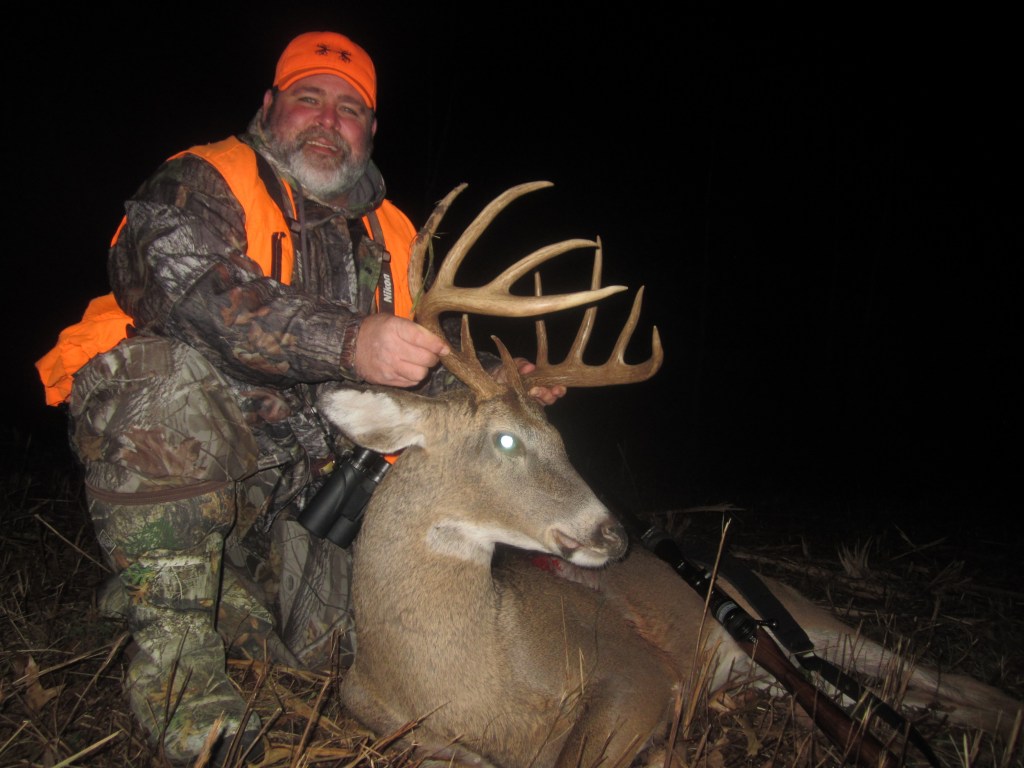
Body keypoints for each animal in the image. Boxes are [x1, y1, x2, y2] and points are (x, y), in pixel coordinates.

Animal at [318, 182, 1022, 768]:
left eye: (563, 440)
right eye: (507, 438)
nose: (612, 535)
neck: (470, 679)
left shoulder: (636, 673)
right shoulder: (395, 727)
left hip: (807, 618)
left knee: (937, 676)